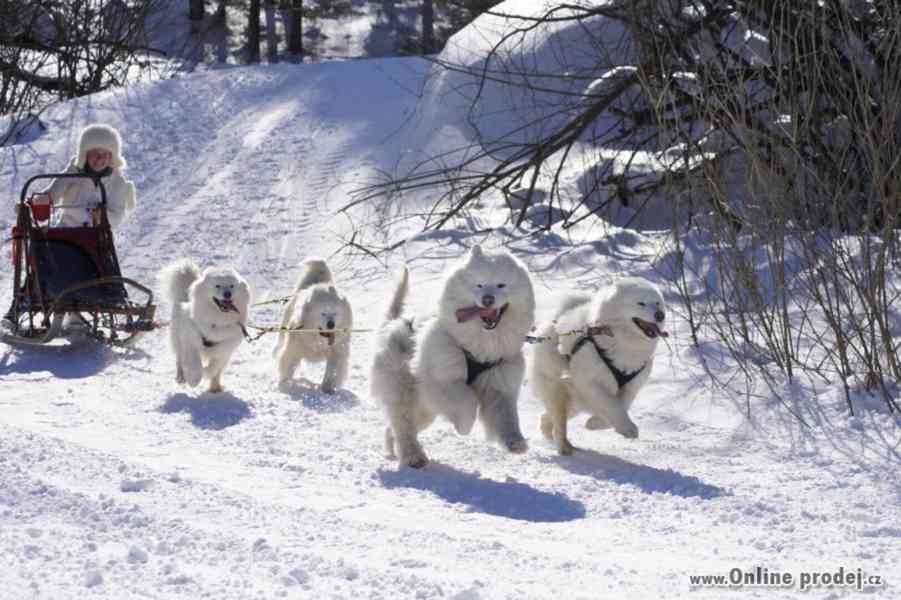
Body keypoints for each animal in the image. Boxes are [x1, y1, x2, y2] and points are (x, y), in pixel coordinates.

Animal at [158, 258, 250, 394]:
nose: (227, 294)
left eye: (232, 286)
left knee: (217, 372)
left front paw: (206, 373)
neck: (217, 320)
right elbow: (194, 364)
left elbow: (214, 367)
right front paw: (193, 380)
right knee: (179, 358)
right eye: (217, 286)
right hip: (177, 337)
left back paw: (215, 387)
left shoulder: (225, 348)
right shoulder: (190, 341)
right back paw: (181, 377)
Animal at [270, 258, 352, 394]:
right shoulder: (293, 349)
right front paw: (285, 384)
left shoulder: (337, 352)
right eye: (323, 313)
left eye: (335, 313)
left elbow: (332, 372)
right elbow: (288, 365)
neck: (318, 341)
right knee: (279, 344)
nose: (331, 324)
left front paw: (327, 389)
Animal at [370, 245, 536, 468]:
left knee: (395, 428)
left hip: (424, 409)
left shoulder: (499, 384)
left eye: (501, 285)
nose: (488, 299)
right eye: (479, 284)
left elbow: (507, 416)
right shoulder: (440, 380)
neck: (481, 346)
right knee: (403, 425)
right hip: (404, 392)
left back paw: (395, 451)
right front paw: (464, 427)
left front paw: (516, 442)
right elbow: (468, 401)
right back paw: (414, 457)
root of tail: (393, 323)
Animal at [528, 276, 668, 454]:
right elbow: (611, 404)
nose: (660, 315)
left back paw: (552, 437)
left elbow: (622, 405)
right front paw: (628, 428)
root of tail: (557, 320)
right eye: (641, 303)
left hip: (575, 402)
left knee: (546, 418)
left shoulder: (631, 386)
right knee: (559, 423)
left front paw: (595, 423)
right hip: (558, 391)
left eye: (657, 303)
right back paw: (565, 447)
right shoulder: (589, 382)